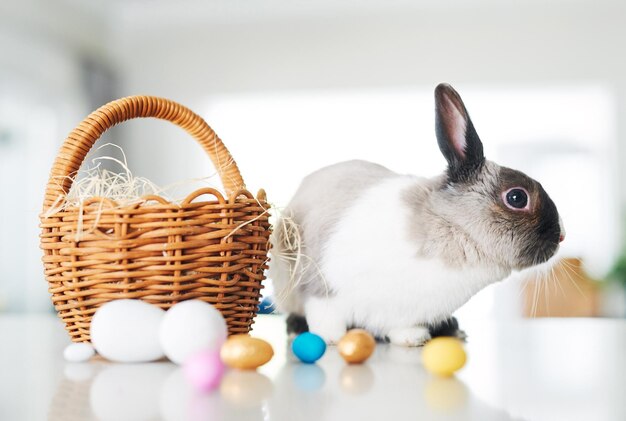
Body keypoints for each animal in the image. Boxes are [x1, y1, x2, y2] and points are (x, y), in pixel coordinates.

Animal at [270, 82, 564, 344]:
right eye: (517, 197)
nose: (562, 236)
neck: (452, 227)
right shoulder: (322, 293)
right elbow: (326, 322)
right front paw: (331, 339)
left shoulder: (403, 314)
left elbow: (403, 329)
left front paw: (414, 339)